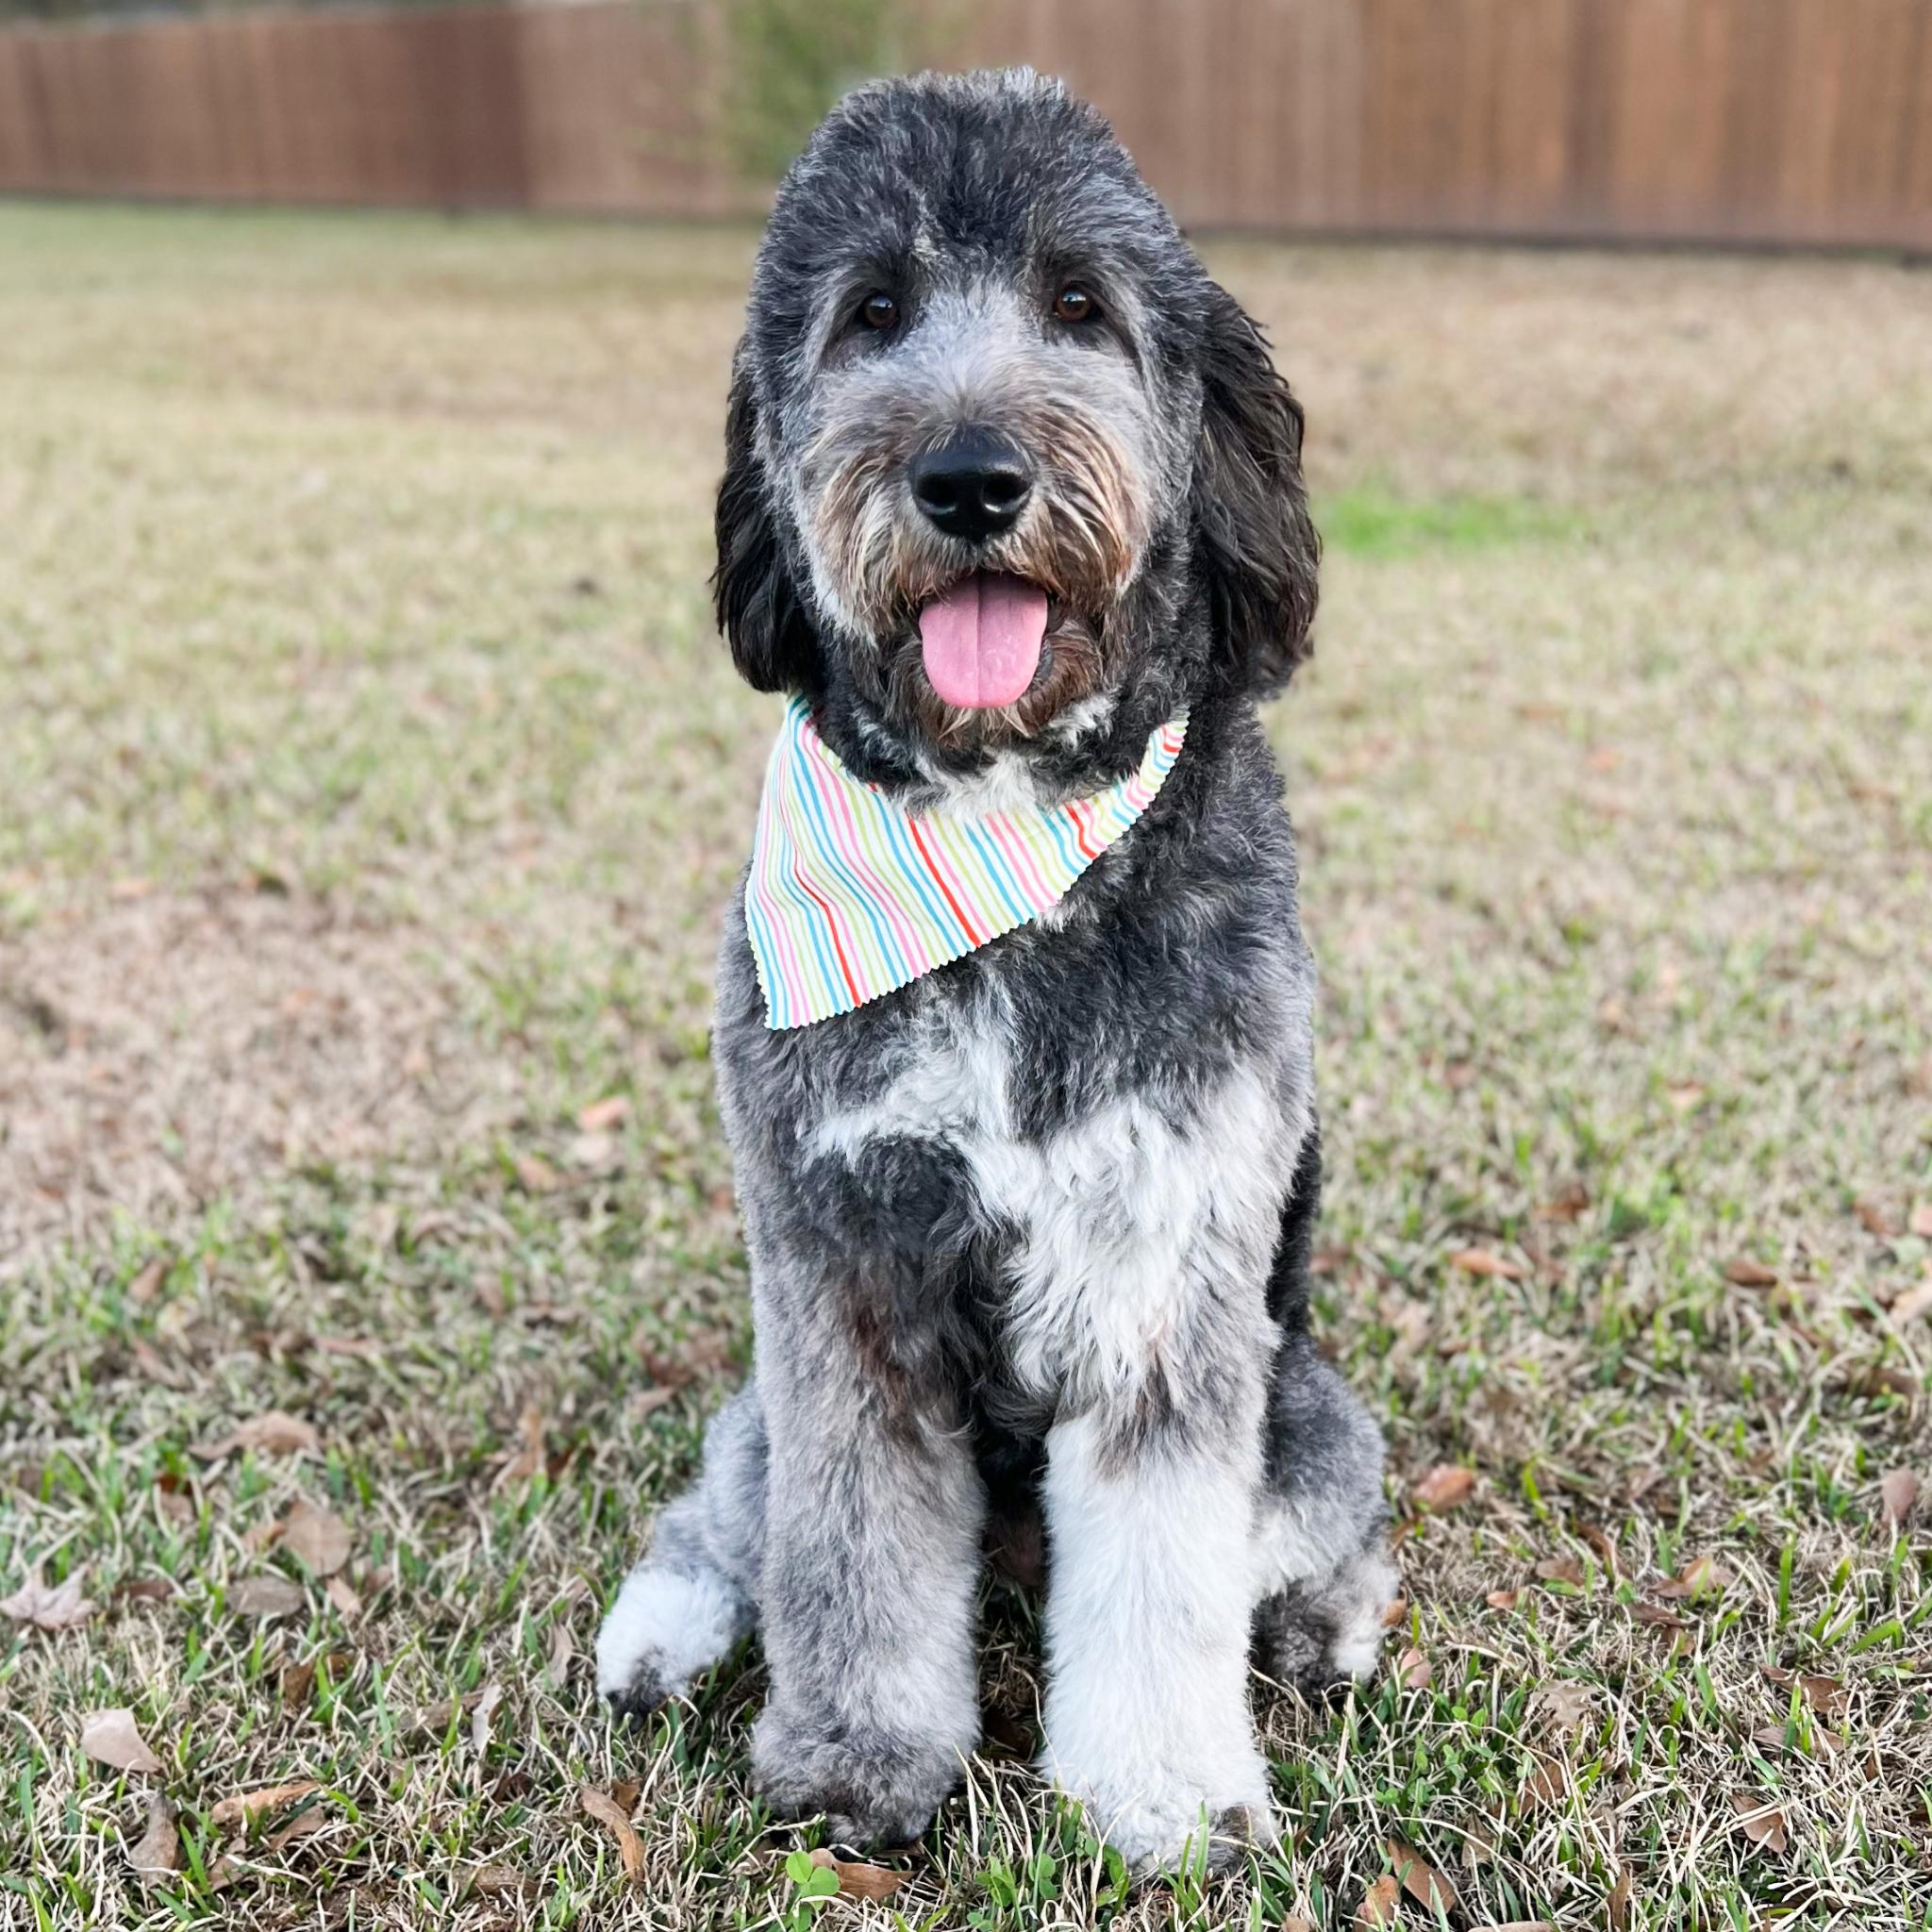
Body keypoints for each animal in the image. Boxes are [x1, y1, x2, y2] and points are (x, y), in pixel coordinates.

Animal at [596, 68, 1395, 1873]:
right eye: (873, 314)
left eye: (1080, 307)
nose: (970, 478)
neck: (1002, 834)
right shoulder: (836, 1266)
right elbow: (847, 1541)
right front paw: (857, 1757)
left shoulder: (1169, 1264)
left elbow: (1164, 1566)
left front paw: (1160, 1793)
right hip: (766, 1397)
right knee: (728, 1502)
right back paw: (659, 1632)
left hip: (1306, 1404)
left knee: (1318, 1527)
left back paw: (1321, 1630)